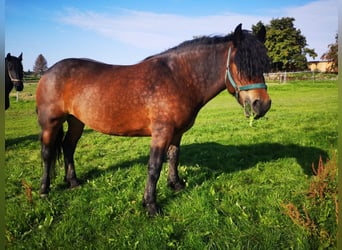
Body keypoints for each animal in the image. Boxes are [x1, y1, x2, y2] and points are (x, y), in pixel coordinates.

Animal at [36, 23, 272, 215]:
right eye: (241, 65)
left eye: (263, 65)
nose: (262, 105)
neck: (179, 78)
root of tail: (48, 72)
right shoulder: (161, 133)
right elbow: (154, 167)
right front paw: (150, 205)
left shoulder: (177, 133)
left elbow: (174, 158)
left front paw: (176, 185)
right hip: (51, 123)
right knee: (47, 153)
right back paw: (44, 189)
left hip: (76, 121)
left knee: (68, 147)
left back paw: (73, 182)